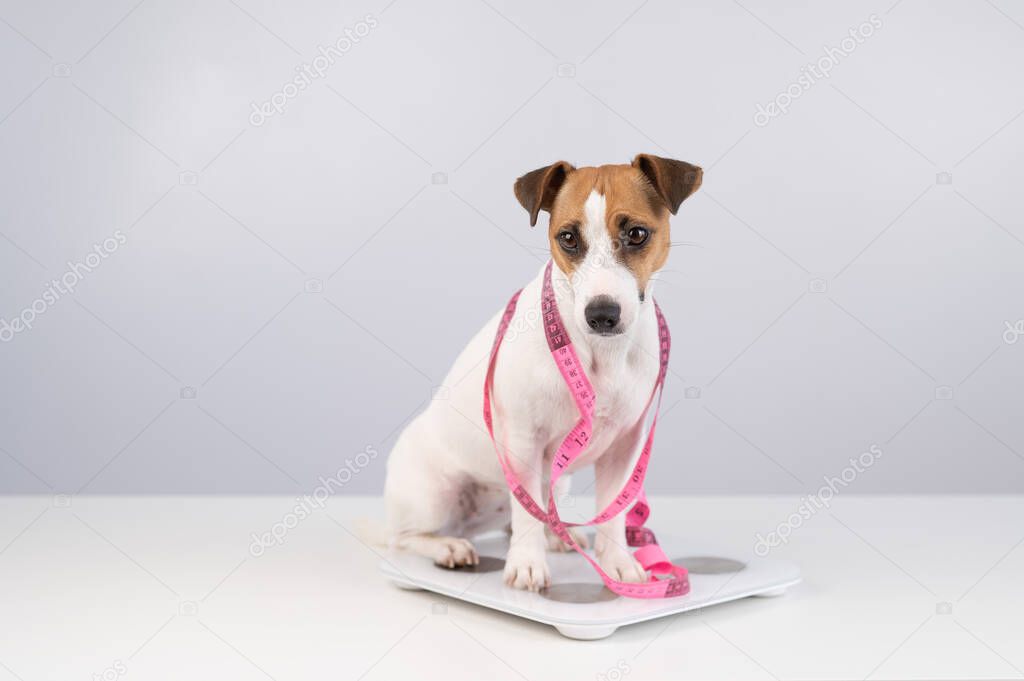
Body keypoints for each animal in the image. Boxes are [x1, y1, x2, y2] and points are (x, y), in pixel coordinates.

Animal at [385, 153, 704, 589]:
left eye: (637, 234)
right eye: (568, 238)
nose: (601, 314)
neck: (600, 354)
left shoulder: (626, 448)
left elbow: (613, 512)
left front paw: (617, 562)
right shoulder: (523, 441)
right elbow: (528, 513)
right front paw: (526, 564)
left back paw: (557, 533)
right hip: (433, 493)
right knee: (406, 536)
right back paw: (448, 547)